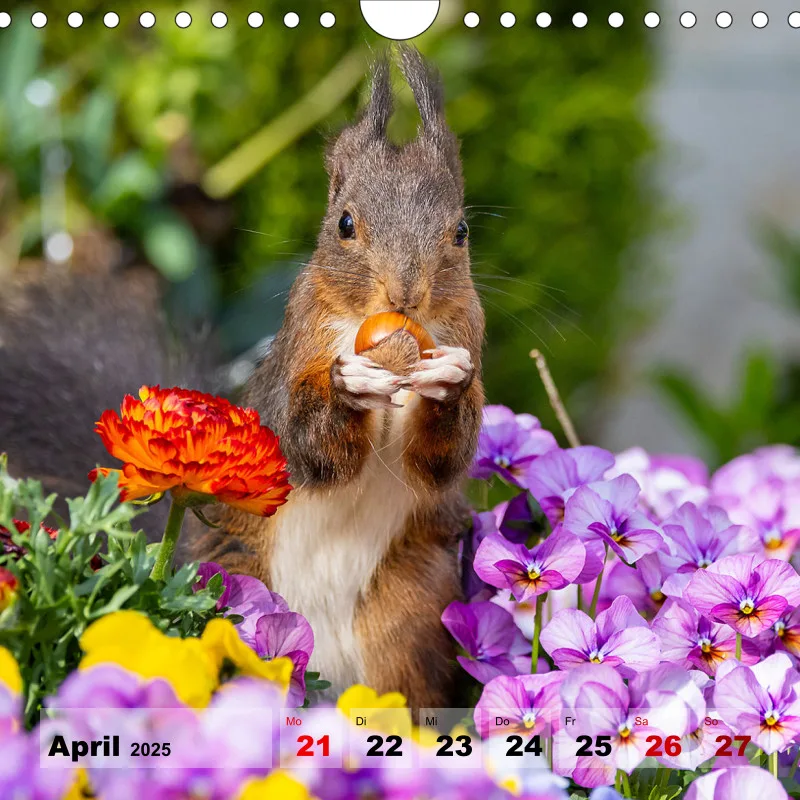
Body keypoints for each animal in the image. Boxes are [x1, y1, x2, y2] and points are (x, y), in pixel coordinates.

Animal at [194, 48, 485, 708]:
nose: (404, 295)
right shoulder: (297, 352)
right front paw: (349, 387)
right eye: (345, 223)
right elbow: (310, 448)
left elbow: (440, 460)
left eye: (461, 232)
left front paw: (450, 382)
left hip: (407, 615)